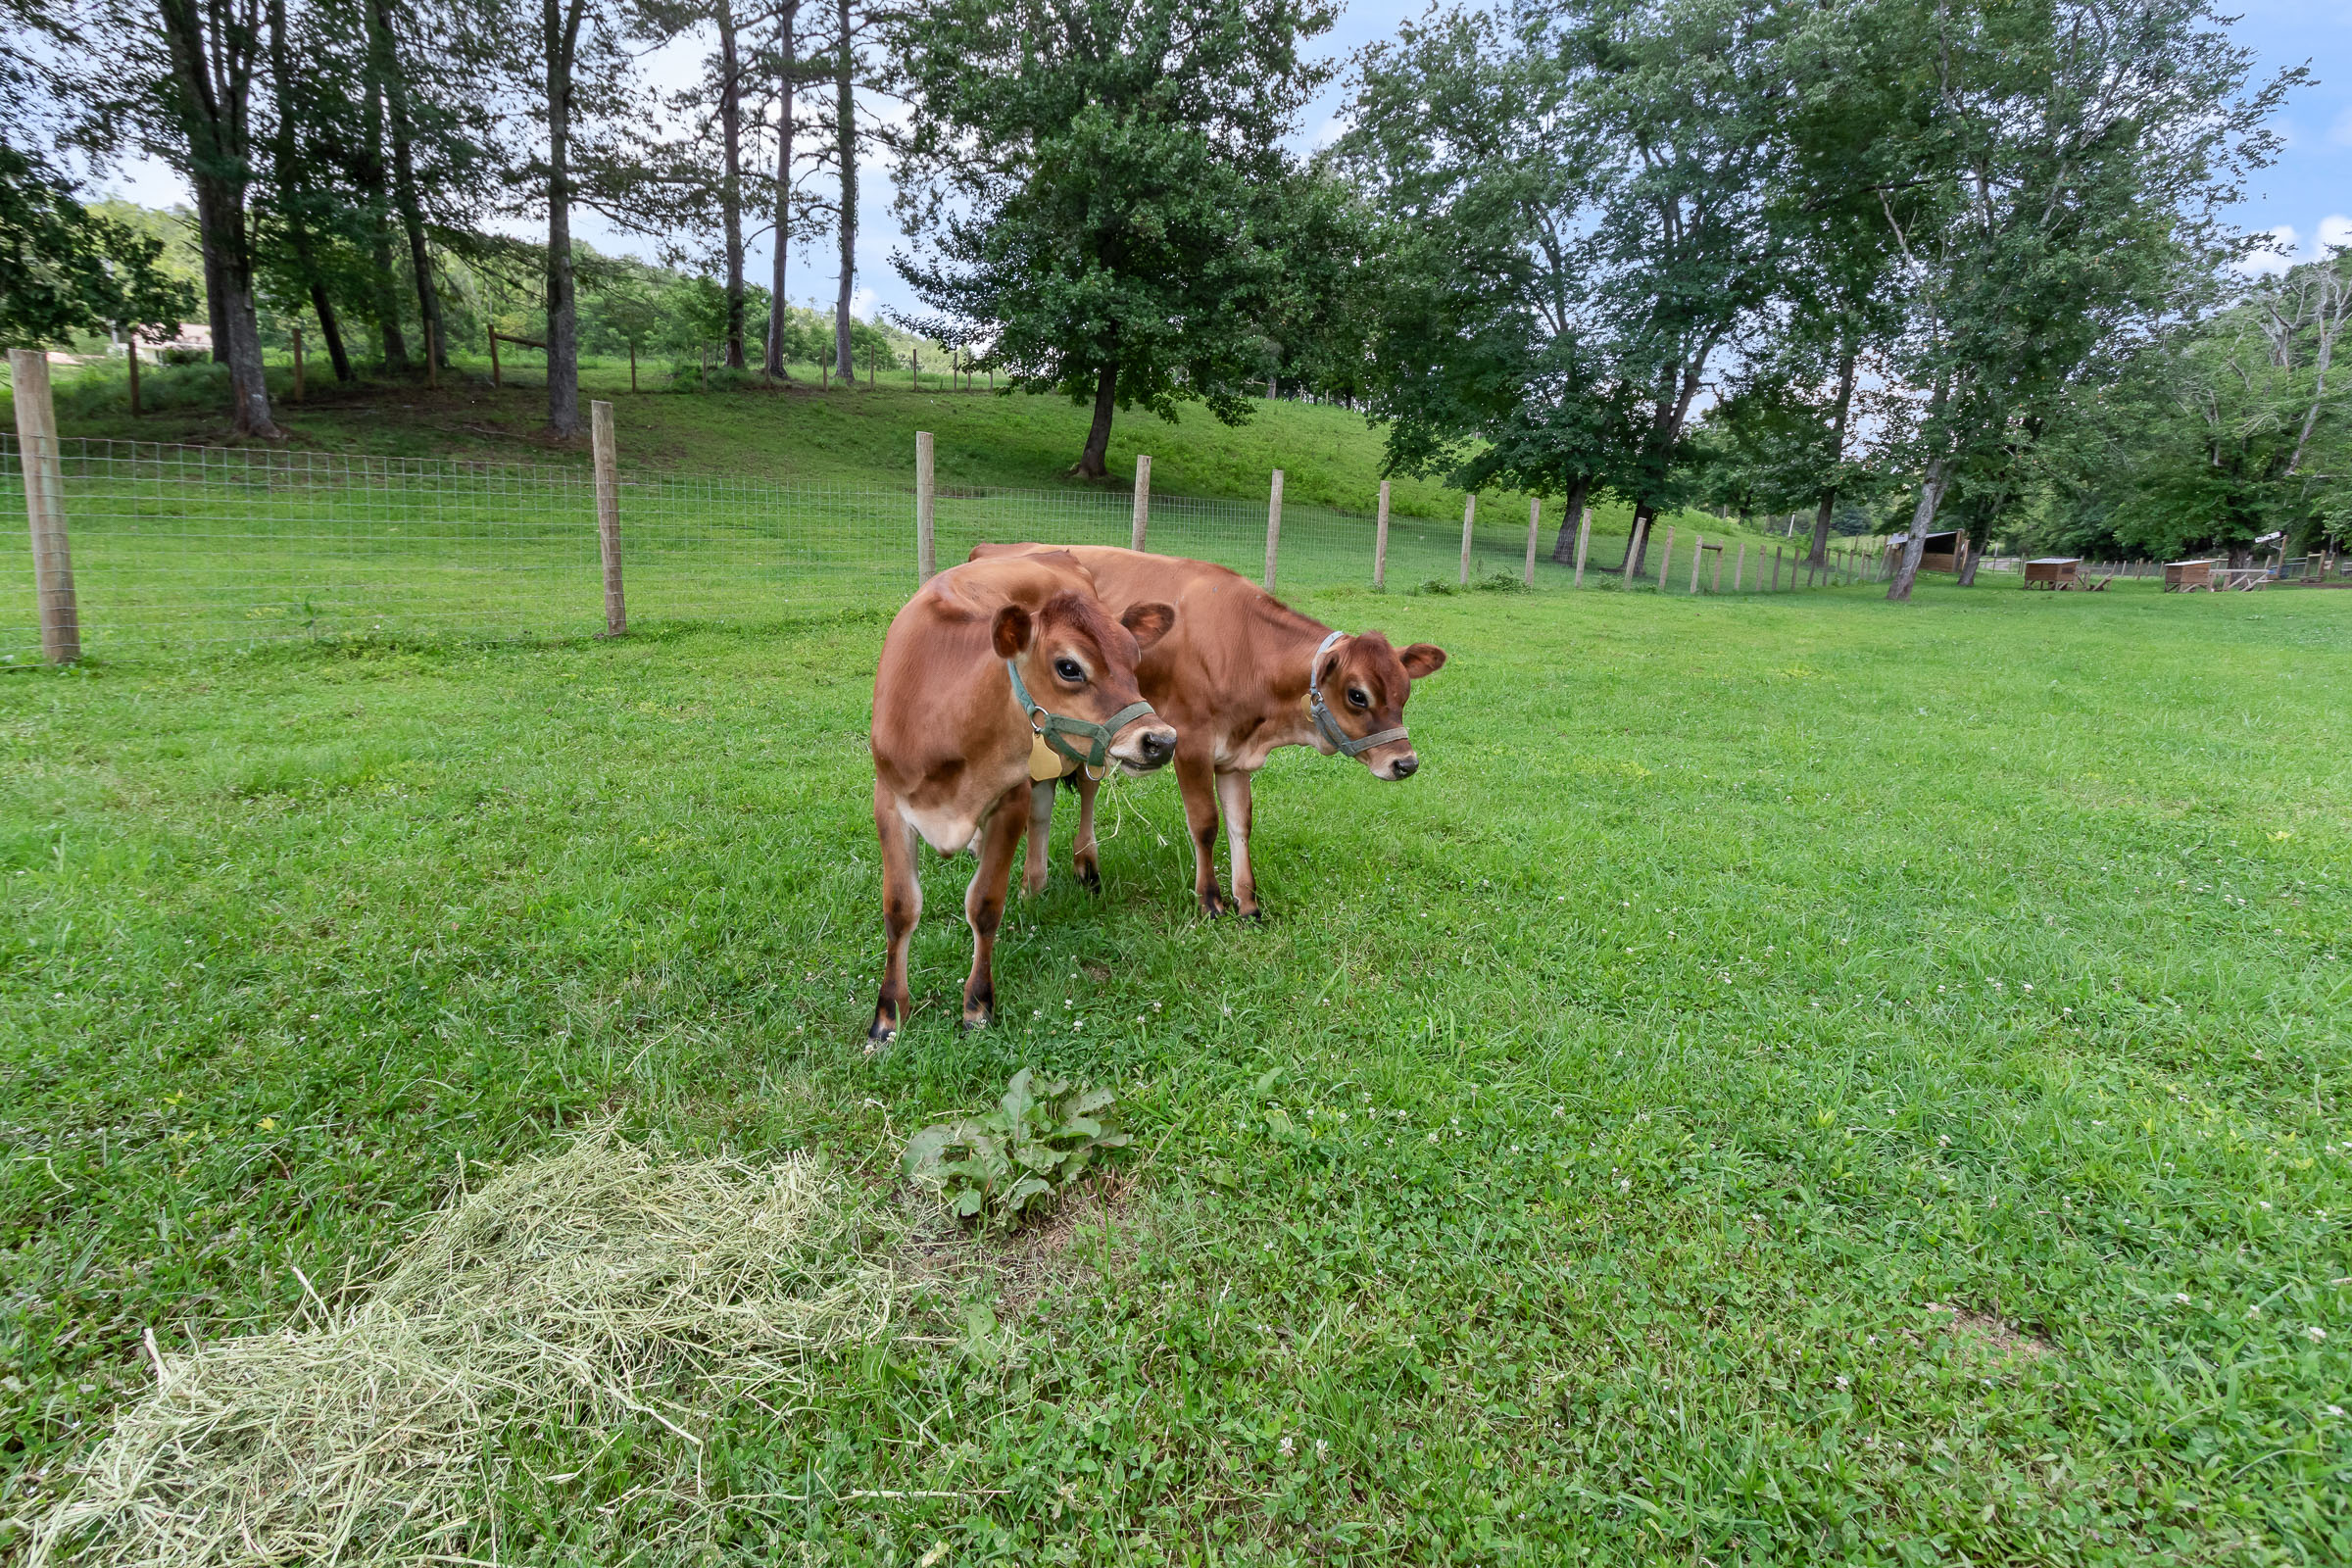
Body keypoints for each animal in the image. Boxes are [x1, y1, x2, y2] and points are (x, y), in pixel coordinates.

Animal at [868, 550, 1178, 1045]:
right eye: (1069, 666)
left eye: (1135, 658)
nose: (1161, 741)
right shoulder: (889, 803)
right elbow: (899, 909)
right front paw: (887, 1016)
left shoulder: (1008, 801)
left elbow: (984, 905)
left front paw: (977, 1006)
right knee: (1043, 810)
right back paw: (1031, 883)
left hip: (1074, 758)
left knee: (1081, 794)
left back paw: (1082, 867)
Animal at [969, 544, 1446, 918]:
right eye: (1358, 695)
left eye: (1405, 692)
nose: (1405, 763)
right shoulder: (1190, 745)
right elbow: (1205, 823)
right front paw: (1210, 900)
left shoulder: (1235, 757)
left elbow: (1240, 824)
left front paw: (1247, 902)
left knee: (1079, 787)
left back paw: (1082, 868)